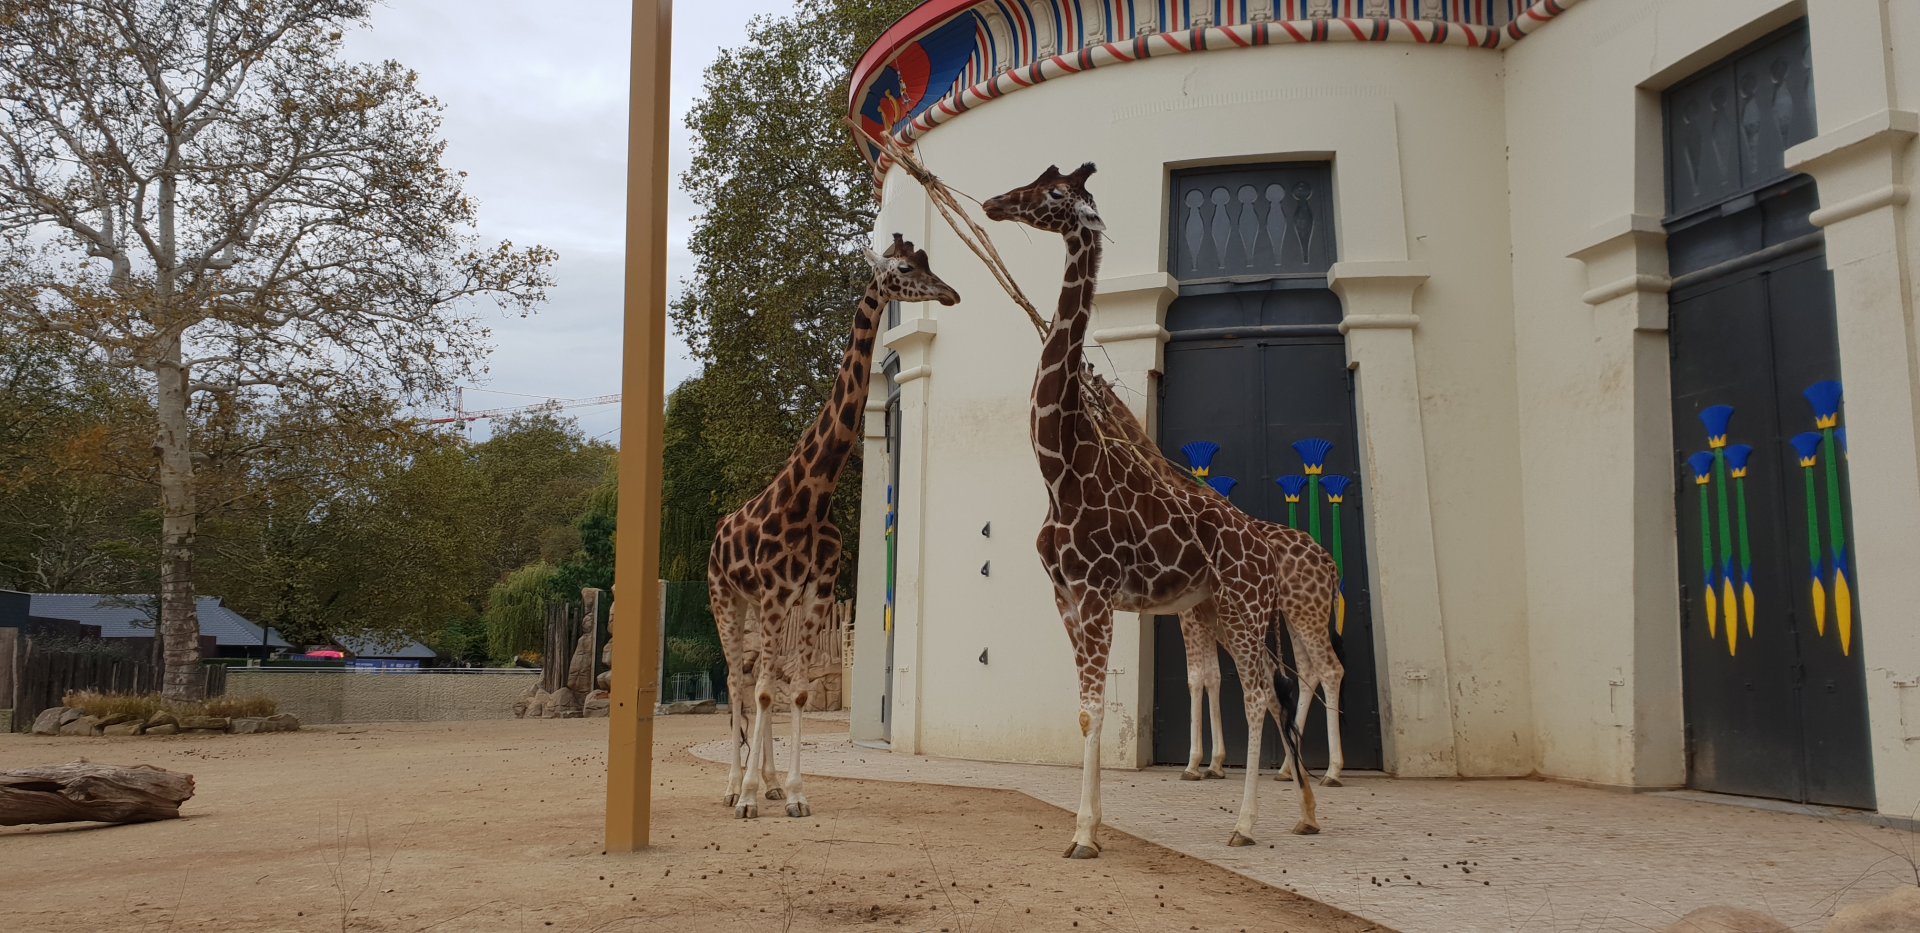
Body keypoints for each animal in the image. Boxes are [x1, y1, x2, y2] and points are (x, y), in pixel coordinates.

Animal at [708, 234, 959, 819]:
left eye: (926, 262)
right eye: (903, 269)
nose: (950, 293)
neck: (812, 498)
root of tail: (717, 535)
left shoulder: (813, 593)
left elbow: (794, 690)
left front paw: (794, 793)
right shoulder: (776, 593)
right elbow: (763, 692)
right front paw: (748, 798)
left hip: (757, 607)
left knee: (756, 678)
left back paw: (768, 783)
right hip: (726, 599)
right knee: (735, 681)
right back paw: (732, 787)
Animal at [982, 163, 1326, 857]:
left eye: (1055, 192)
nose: (995, 202)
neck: (1062, 467)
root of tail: (1264, 549)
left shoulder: (1094, 593)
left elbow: (1093, 709)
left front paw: (1085, 834)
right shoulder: (1064, 597)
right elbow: (1084, 710)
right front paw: (1091, 823)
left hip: (1244, 606)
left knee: (1258, 695)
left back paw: (1245, 824)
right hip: (1227, 609)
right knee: (1274, 691)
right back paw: (1304, 812)